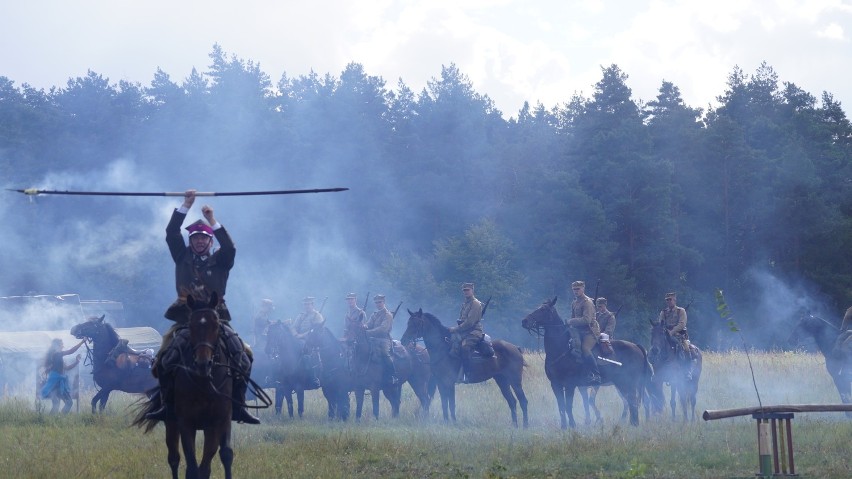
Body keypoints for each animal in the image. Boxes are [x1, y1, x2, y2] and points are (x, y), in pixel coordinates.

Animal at [136, 292, 236, 479]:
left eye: (216, 325)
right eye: (191, 325)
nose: (203, 364)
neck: (204, 383)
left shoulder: (215, 423)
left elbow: (205, 467)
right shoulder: (185, 423)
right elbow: (192, 468)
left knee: (226, 454)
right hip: (171, 423)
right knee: (174, 458)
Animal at [520, 298, 652, 430]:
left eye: (544, 309)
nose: (524, 321)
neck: (562, 348)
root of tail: (637, 346)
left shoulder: (570, 384)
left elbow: (568, 406)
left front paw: (572, 425)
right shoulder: (556, 384)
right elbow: (561, 406)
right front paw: (564, 427)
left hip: (628, 383)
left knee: (633, 402)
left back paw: (634, 424)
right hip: (622, 383)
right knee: (631, 402)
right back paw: (632, 424)